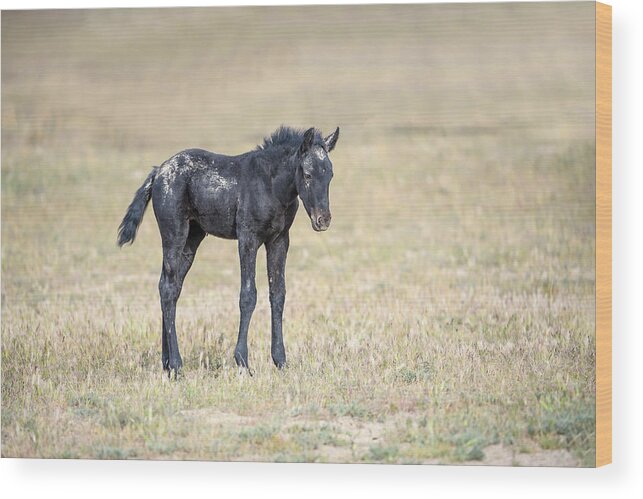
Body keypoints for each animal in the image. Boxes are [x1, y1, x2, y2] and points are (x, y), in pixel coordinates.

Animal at [121, 125, 342, 376]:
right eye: (307, 174)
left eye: (330, 175)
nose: (323, 220)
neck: (271, 186)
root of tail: (158, 172)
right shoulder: (248, 239)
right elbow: (248, 295)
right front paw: (243, 362)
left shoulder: (279, 240)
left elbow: (278, 294)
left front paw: (280, 361)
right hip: (173, 233)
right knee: (168, 288)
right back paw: (176, 366)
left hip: (192, 239)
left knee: (169, 286)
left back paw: (167, 363)